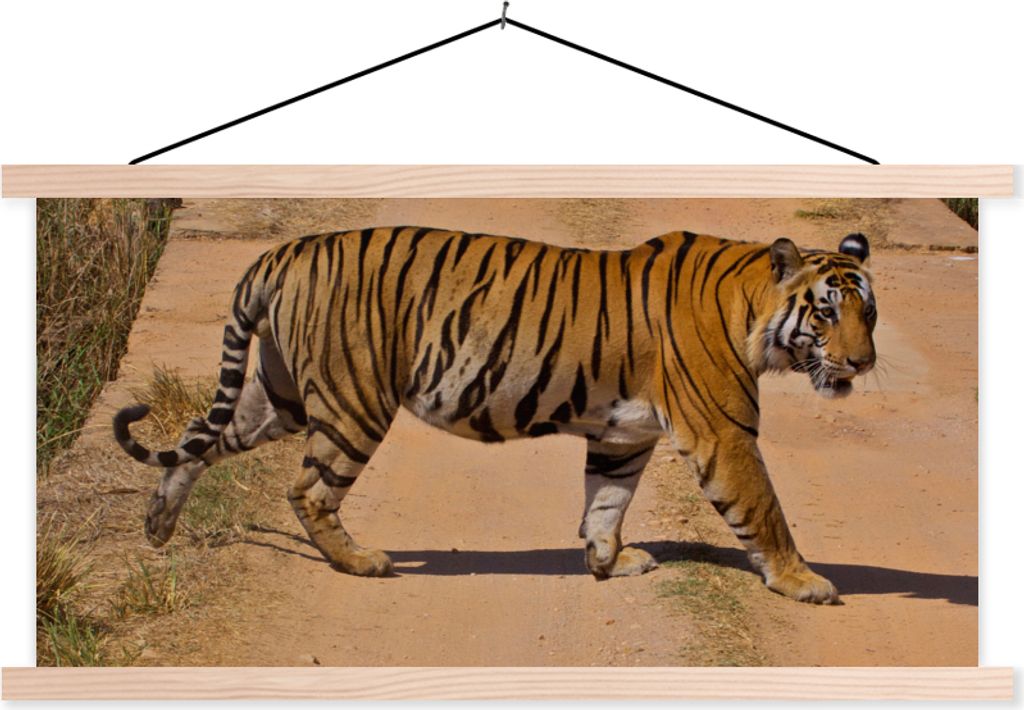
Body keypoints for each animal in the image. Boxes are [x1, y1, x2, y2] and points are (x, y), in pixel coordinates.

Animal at [114, 227, 876, 605]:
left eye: (868, 312)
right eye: (825, 313)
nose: (863, 363)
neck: (751, 307)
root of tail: (282, 251)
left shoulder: (623, 434)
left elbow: (607, 501)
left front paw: (609, 562)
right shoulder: (723, 432)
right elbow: (764, 509)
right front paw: (804, 582)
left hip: (279, 396)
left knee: (195, 440)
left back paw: (156, 526)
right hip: (352, 400)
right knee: (306, 489)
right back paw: (360, 563)